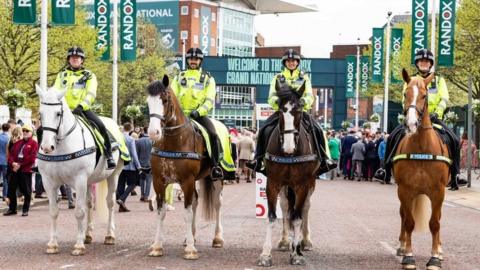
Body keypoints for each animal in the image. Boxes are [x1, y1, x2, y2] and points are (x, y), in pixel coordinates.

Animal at [36, 86, 124, 255]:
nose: (47, 147)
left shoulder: (80, 179)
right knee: (89, 203)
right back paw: (87, 235)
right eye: (40, 113)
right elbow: (54, 212)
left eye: (58, 113)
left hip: (113, 175)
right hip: (90, 181)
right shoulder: (49, 182)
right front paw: (53, 244)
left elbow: (78, 212)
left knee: (110, 202)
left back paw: (109, 236)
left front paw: (78, 245)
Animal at [145, 75, 224, 260]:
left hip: (217, 179)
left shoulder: (187, 180)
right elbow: (161, 212)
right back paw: (191, 237)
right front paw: (157, 246)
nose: (153, 132)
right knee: (195, 201)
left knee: (217, 204)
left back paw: (217, 238)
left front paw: (190, 250)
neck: (174, 141)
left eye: (165, 100)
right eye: (148, 102)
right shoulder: (159, 181)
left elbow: (187, 214)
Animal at [256, 79, 320, 266]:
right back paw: (285, 241)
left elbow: (298, 217)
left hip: (310, 184)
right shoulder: (273, 183)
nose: (289, 147)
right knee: (285, 207)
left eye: (298, 109)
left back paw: (304, 242)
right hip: (286, 186)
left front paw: (296, 253)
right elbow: (272, 216)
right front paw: (266, 254)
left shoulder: (302, 185)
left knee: (305, 208)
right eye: (280, 110)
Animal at [394, 69, 450, 270]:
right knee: (403, 215)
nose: (410, 124)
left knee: (438, 218)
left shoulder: (438, 191)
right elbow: (409, 222)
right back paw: (402, 246)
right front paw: (409, 257)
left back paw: (439, 251)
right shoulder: (405, 190)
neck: (421, 148)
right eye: (405, 94)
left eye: (425, 95)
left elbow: (435, 223)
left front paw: (434, 258)